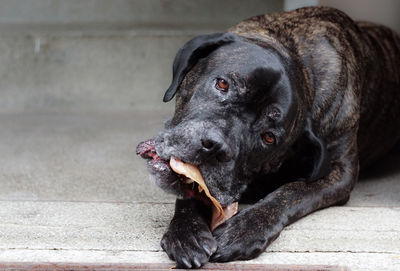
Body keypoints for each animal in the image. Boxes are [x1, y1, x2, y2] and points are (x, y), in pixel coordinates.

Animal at [136, 6, 398, 270]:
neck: (298, 56)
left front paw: (244, 229)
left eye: (269, 138)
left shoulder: (339, 172)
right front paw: (186, 232)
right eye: (222, 84)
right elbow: (189, 190)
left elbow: (292, 192)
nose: (214, 146)